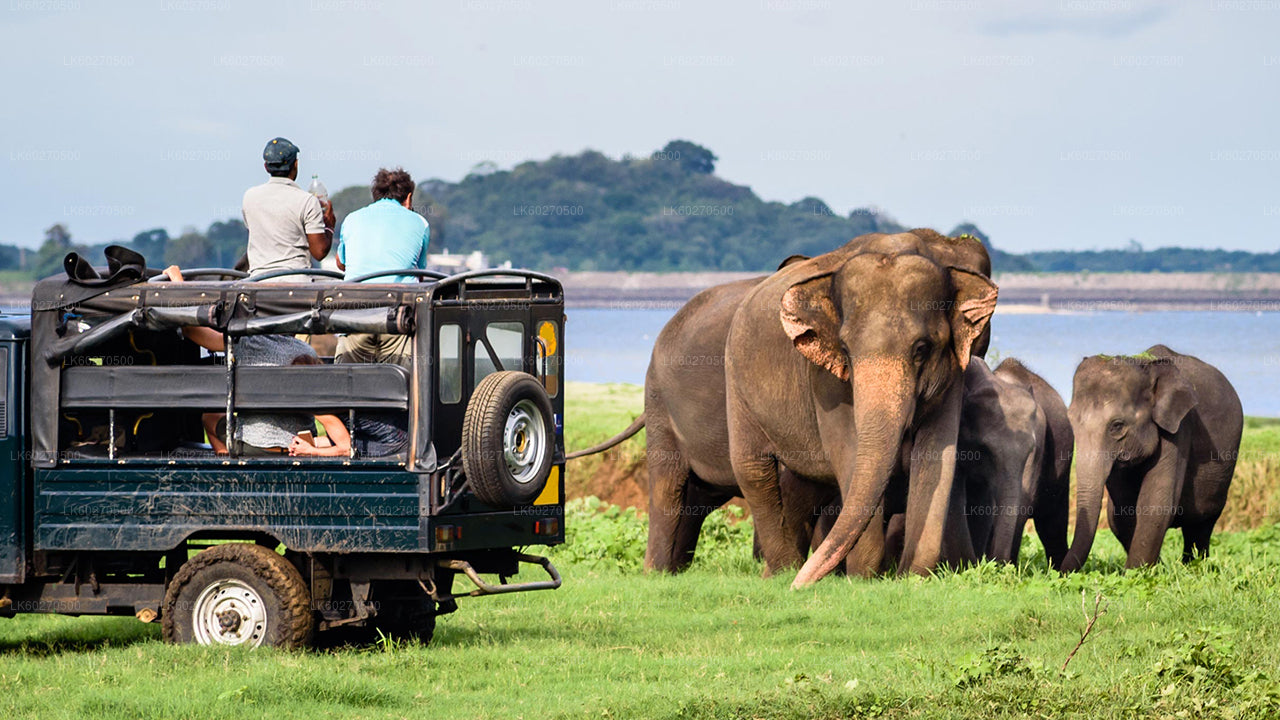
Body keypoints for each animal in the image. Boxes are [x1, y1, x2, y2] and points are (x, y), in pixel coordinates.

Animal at [727, 229, 993, 584]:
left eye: (921, 348)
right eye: (845, 348)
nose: (801, 587)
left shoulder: (953, 374)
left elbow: (937, 455)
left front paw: (911, 578)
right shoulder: (825, 379)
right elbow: (850, 454)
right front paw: (864, 579)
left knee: (801, 485)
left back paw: (781, 574)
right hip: (736, 383)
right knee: (753, 469)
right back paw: (785, 573)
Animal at [1059, 345, 1239, 568]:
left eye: (1117, 425)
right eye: (1071, 421)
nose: (1057, 571)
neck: (1144, 365)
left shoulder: (1179, 427)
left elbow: (1155, 504)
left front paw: (1135, 573)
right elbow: (1121, 513)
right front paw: (1151, 570)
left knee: (1201, 526)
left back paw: (1194, 566)